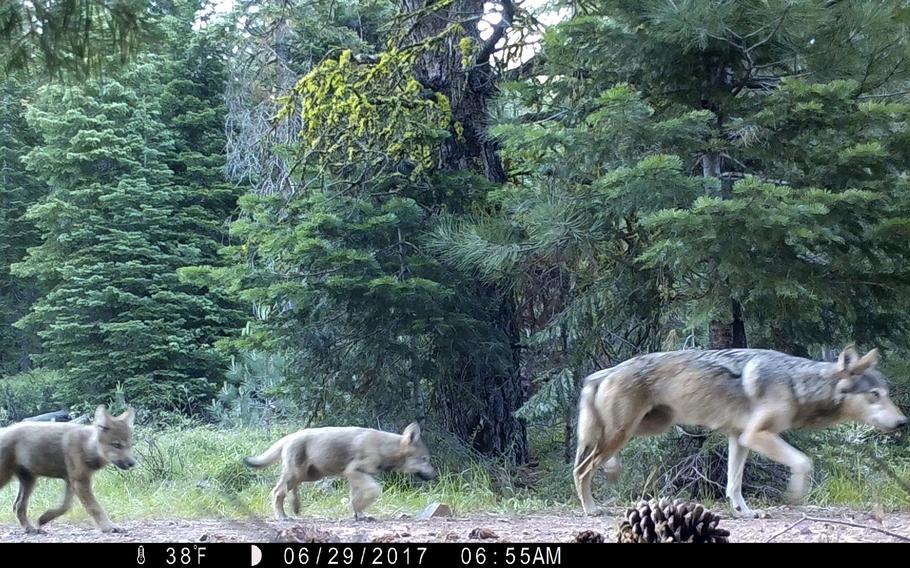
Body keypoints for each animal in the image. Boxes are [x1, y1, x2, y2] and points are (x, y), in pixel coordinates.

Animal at [0, 404, 137, 532]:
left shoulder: (71, 481)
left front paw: (44, 518)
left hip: (30, 481)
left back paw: (31, 529)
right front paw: (109, 527)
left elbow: (65, 507)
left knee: (18, 506)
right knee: (18, 506)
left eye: (130, 445)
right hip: (9, 478)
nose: (132, 463)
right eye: (117, 445)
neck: (86, 446)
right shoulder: (80, 481)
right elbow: (95, 508)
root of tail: (4, 429)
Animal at [246, 422, 438, 520]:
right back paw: (282, 516)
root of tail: (289, 436)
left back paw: (296, 508)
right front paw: (360, 511)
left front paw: (359, 514)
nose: (436, 475)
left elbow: (355, 498)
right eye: (425, 459)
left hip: (308, 476)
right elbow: (374, 490)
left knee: (289, 490)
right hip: (298, 474)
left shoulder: (354, 476)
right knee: (277, 492)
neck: (384, 448)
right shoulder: (353, 471)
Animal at [572, 344, 908, 516]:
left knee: (595, 461)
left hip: (646, 428)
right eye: (875, 395)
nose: (903, 422)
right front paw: (794, 496)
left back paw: (611, 474)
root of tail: (602, 373)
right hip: (623, 433)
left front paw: (742, 511)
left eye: (887, 394)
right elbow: (804, 462)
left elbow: (733, 484)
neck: (797, 384)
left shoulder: (739, 438)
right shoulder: (756, 435)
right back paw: (591, 508)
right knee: (582, 469)